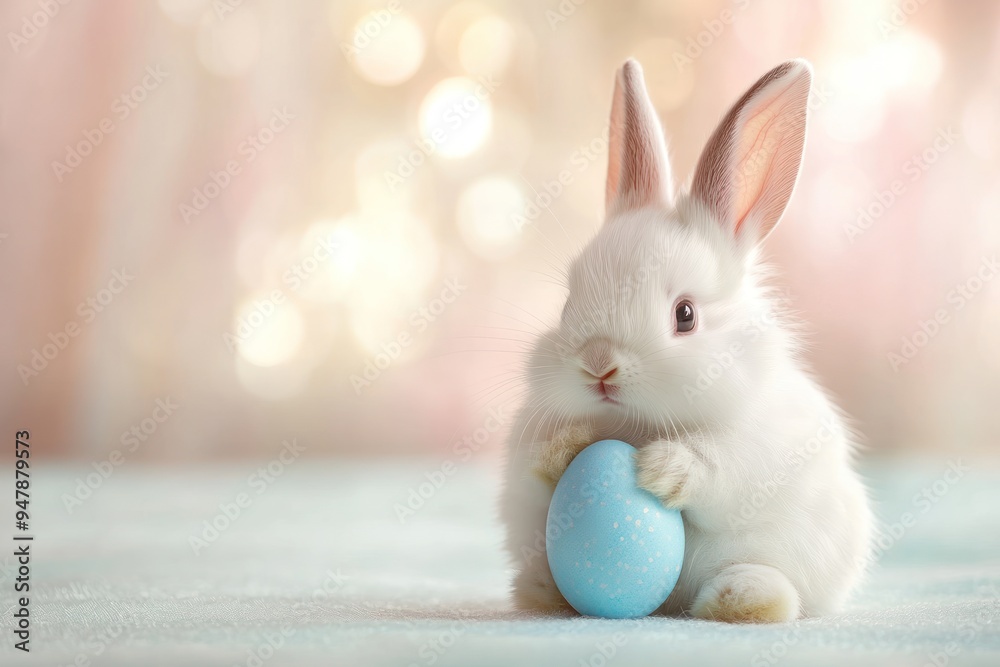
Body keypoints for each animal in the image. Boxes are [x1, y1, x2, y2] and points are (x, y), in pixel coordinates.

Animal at [500, 58, 872, 623]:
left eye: (686, 316)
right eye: (567, 304)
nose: (598, 364)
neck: (637, 422)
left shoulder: (760, 448)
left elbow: (719, 465)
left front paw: (658, 468)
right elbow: (537, 472)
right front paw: (569, 448)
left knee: (776, 588)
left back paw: (742, 600)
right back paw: (541, 591)